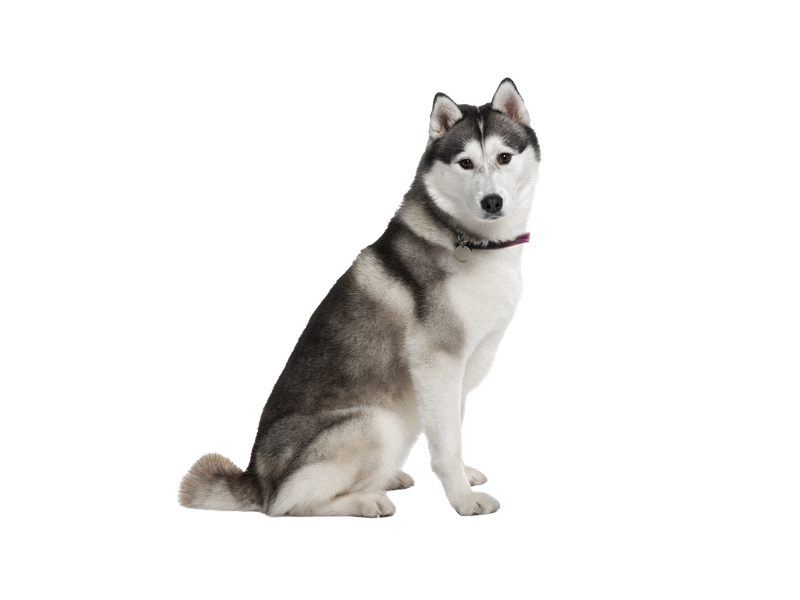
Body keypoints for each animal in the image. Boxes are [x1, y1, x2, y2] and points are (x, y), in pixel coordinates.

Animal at [179, 78, 544, 520]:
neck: (471, 242)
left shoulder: (469, 360)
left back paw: (387, 477)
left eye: (504, 157)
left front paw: (463, 474)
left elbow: (452, 429)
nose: (492, 202)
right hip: (377, 424)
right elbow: (443, 445)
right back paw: (366, 499)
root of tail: (256, 479)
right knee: (285, 503)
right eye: (465, 163)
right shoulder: (437, 361)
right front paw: (461, 497)